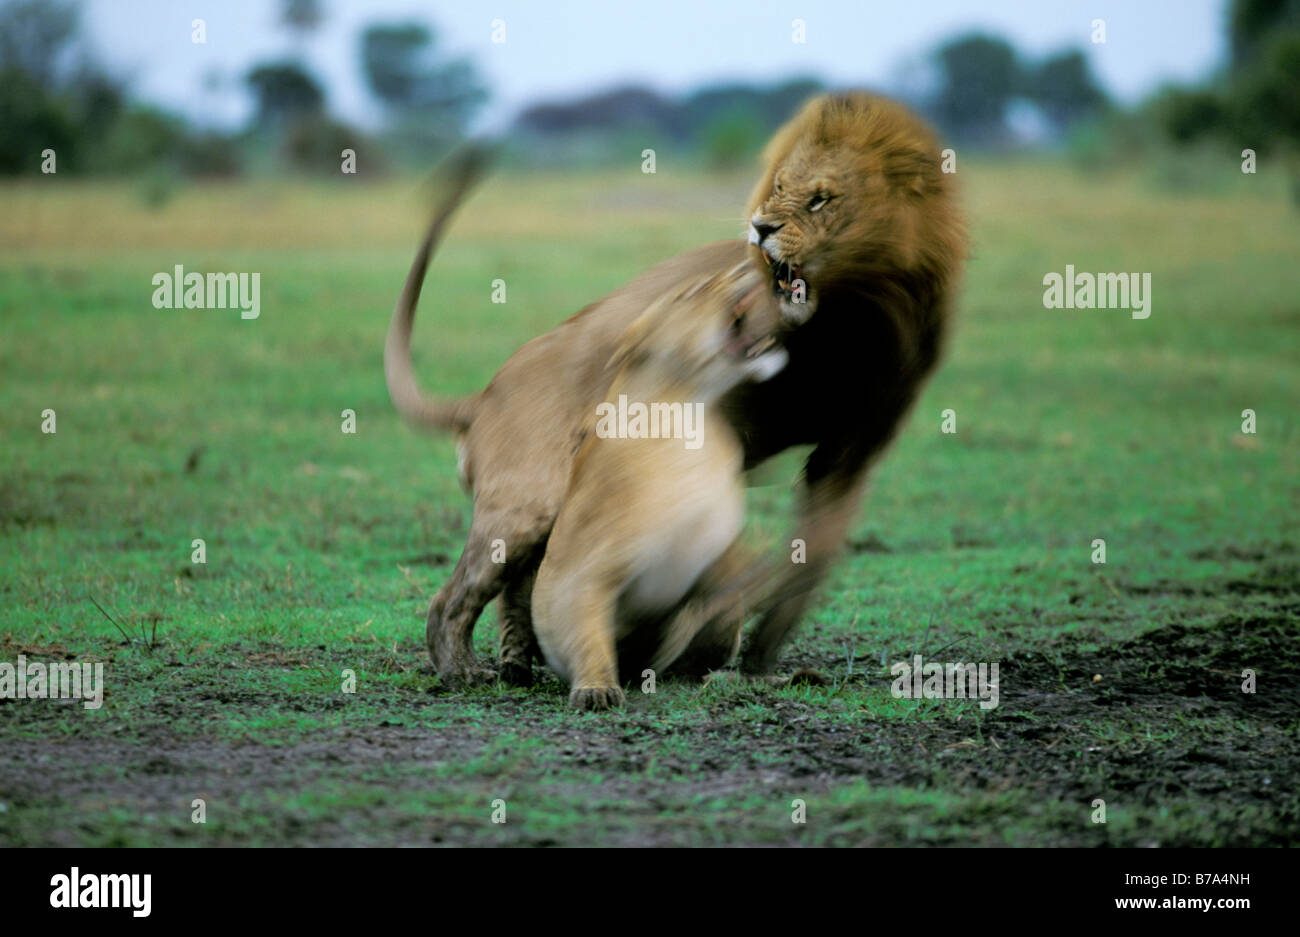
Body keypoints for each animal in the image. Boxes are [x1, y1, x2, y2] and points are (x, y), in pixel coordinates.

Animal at [385, 93, 965, 688]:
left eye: (821, 198)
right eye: (780, 184)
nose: (759, 228)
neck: (864, 314)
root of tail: (484, 395)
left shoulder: (853, 448)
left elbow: (812, 559)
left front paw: (759, 659)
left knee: (523, 583)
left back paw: (525, 663)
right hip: (528, 502)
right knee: (457, 596)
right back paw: (465, 669)